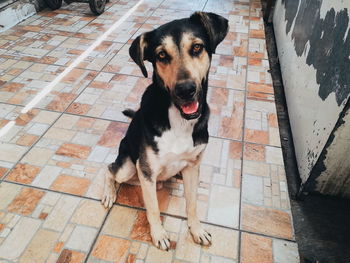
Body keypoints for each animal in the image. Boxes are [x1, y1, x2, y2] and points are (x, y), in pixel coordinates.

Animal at [101, 11, 228, 252]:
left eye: (197, 47)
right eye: (161, 55)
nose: (186, 90)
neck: (178, 119)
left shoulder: (192, 166)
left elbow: (192, 204)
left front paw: (197, 230)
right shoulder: (147, 171)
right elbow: (153, 209)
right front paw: (159, 234)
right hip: (128, 167)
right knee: (109, 169)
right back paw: (109, 194)